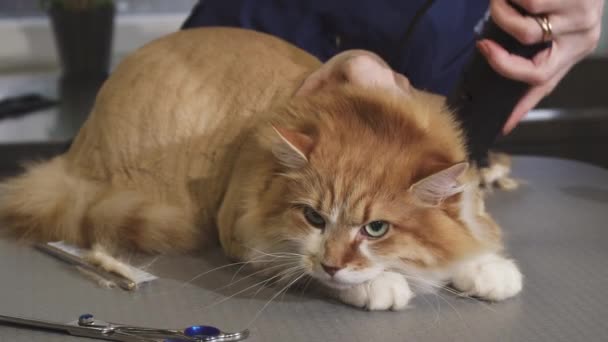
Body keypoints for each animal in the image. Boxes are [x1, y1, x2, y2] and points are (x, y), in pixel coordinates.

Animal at [0, 26, 524, 310]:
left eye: (376, 228)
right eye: (313, 218)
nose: (333, 262)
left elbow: (470, 237)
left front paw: (486, 269)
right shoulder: (245, 232)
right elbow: (307, 267)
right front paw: (381, 284)